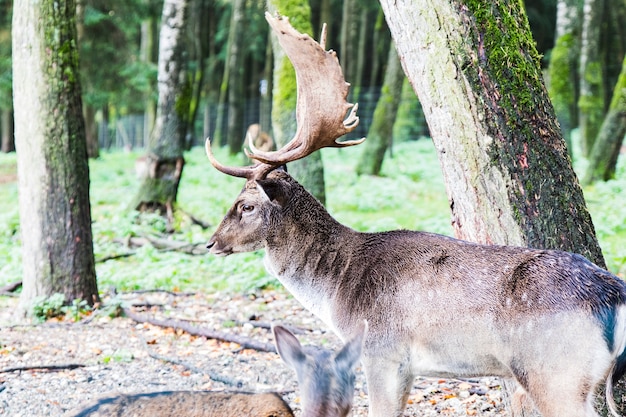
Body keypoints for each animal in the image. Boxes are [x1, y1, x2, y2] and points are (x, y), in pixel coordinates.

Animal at [207, 12, 624, 416]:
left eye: (246, 205)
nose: (211, 242)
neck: (337, 290)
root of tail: (614, 295)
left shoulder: (381, 349)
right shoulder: (406, 367)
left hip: (555, 372)